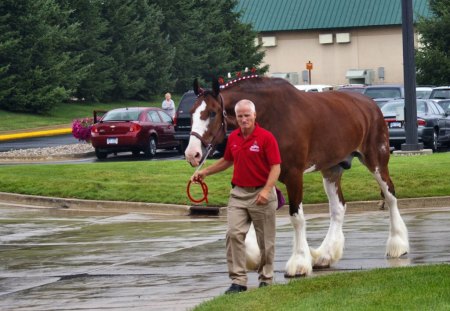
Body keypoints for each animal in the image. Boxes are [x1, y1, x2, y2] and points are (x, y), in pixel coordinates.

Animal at [185, 76, 410, 278]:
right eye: (191, 113)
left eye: (212, 113)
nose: (192, 154)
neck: (271, 115)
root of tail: (371, 105)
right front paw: (254, 257)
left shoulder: (294, 175)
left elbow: (296, 218)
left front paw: (299, 262)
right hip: (331, 169)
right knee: (338, 208)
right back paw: (325, 256)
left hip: (376, 161)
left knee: (390, 196)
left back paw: (398, 245)